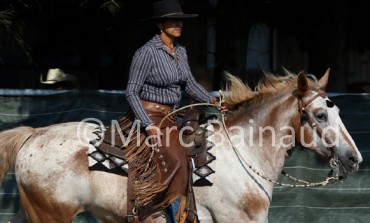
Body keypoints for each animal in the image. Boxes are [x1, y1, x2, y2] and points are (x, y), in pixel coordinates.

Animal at [0, 69, 362, 222]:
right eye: (320, 114)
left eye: (337, 111)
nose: (354, 158)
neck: (245, 153)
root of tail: (34, 134)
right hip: (51, 215)